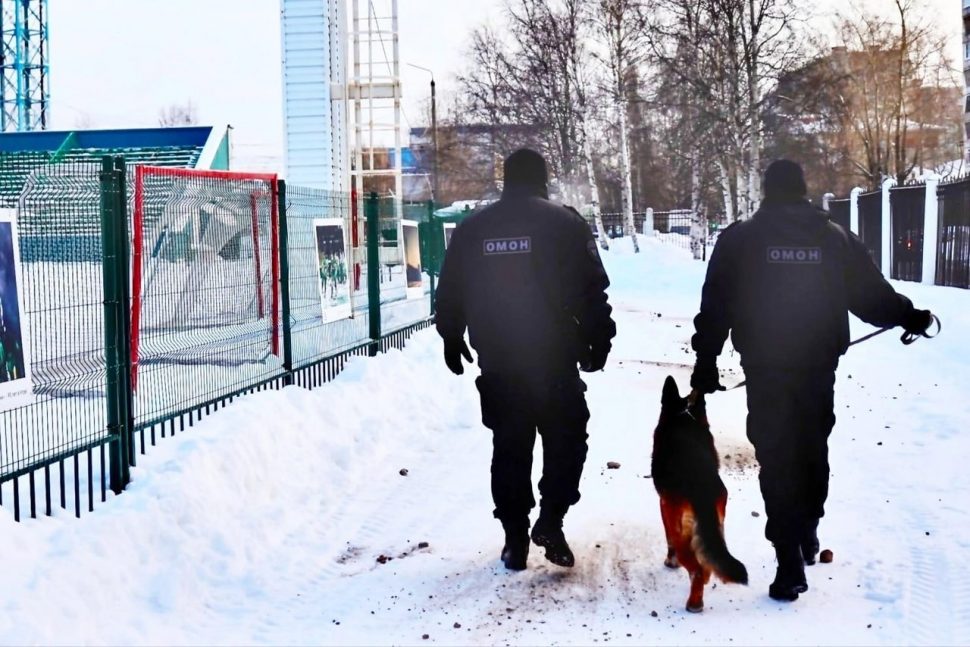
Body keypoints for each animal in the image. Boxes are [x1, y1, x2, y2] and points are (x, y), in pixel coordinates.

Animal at [652, 378, 748, 612]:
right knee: (708, 563)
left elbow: (668, 539)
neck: (684, 416)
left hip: (682, 528)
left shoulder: (664, 506)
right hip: (717, 526)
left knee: (697, 568)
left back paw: (694, 603)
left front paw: (670, 562)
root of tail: (702, 488)